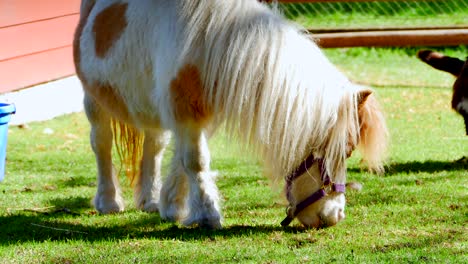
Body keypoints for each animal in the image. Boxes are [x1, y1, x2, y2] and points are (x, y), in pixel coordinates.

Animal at [73, 0, 388, 229]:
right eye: (346, 151)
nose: (335, 216)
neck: (208, 41)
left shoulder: (194, 117)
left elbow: (181, 161)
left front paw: (171, 206)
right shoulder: (185, 114)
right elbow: (195, 161)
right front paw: (206, 215)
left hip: (149, 109)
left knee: (154, 147)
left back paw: (149, 199)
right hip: (94, 100)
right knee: (101, 144)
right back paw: (108, 201)